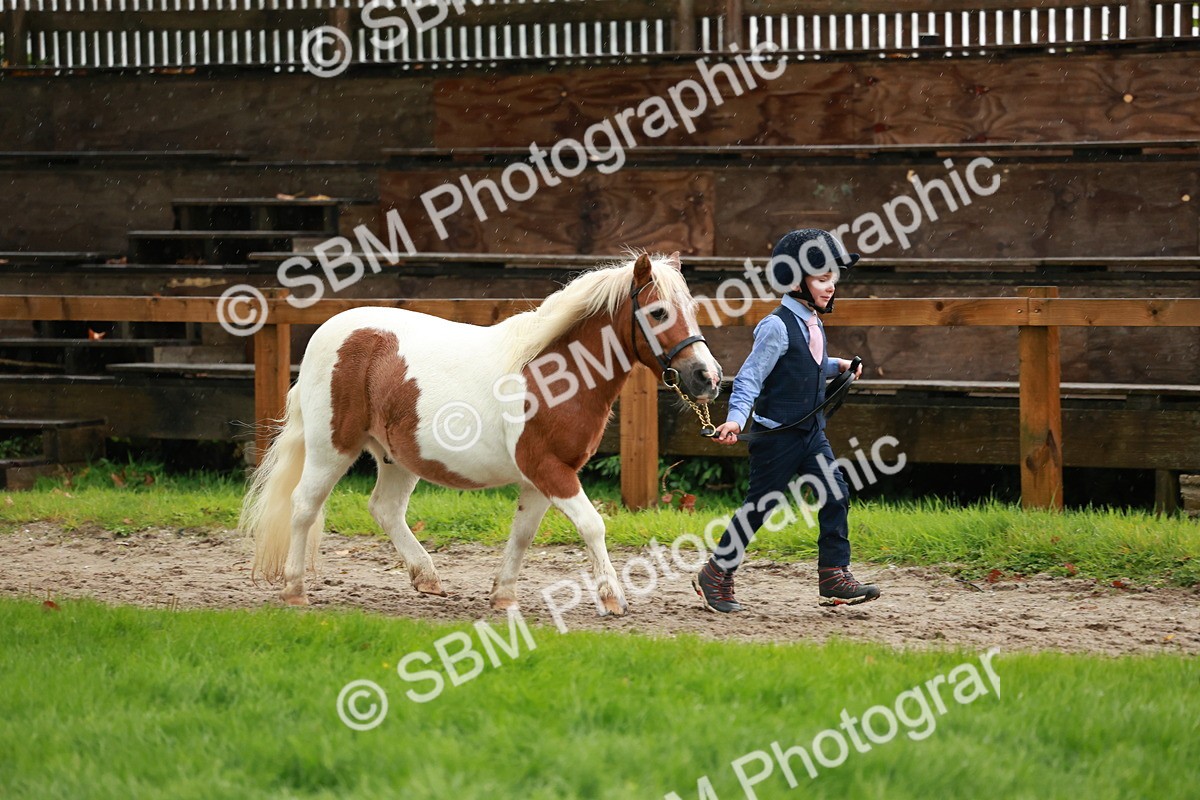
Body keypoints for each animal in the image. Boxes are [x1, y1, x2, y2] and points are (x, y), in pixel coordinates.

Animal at [240, 252, 722, 616]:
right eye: (658, 312)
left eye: (691, 310)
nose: (708, 377)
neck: (557, 374)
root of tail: (326, 334)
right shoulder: (551, 471)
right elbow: (592, 525)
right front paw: (613, 599)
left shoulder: (541, 477)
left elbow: (523, 534)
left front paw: (503, 596)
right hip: (332, 448)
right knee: (304, 507)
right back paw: (295, 590)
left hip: (397, 456)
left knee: (385, 509)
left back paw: (427, 578)